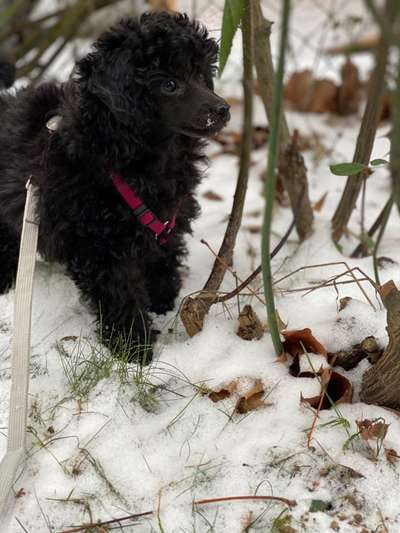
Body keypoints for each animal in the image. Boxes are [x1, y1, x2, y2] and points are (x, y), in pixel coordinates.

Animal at [0, 11, 230, 362]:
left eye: (201, 76)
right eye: (169, 84)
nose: (223, 110)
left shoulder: (167, 218)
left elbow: (162, 254)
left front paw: (162, 301)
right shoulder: (99, 245)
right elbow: (119, 293)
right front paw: (134, 347)